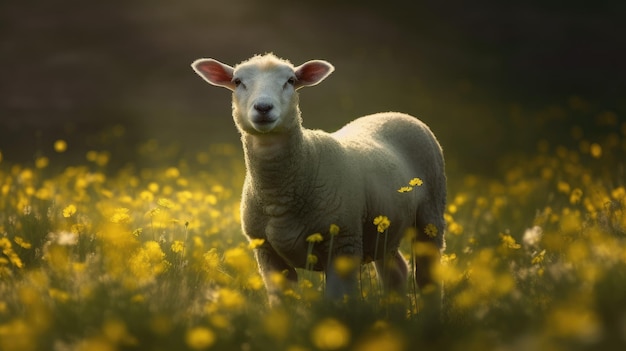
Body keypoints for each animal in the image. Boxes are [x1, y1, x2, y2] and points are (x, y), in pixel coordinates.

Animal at [190, 54, 444, 316]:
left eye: (290, 81)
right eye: (238, 81)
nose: (263, 108)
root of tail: (391, 112)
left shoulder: (343, 244)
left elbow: (336, 301)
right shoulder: (267, 253)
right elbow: (282, 303)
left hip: (431, 213)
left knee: (426, 274)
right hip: (384, 228)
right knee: (395, 272)